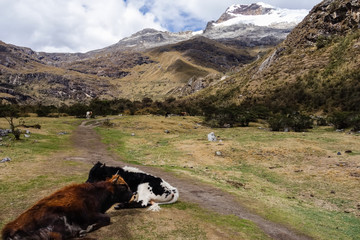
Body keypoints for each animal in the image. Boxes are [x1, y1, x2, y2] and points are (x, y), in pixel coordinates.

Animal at [1, 174, 134, 240]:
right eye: (123, 186)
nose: (133, 194)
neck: (96, 193)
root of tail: (9, 229)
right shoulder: (90, 214)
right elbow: (107, 218)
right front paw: (88, 228)